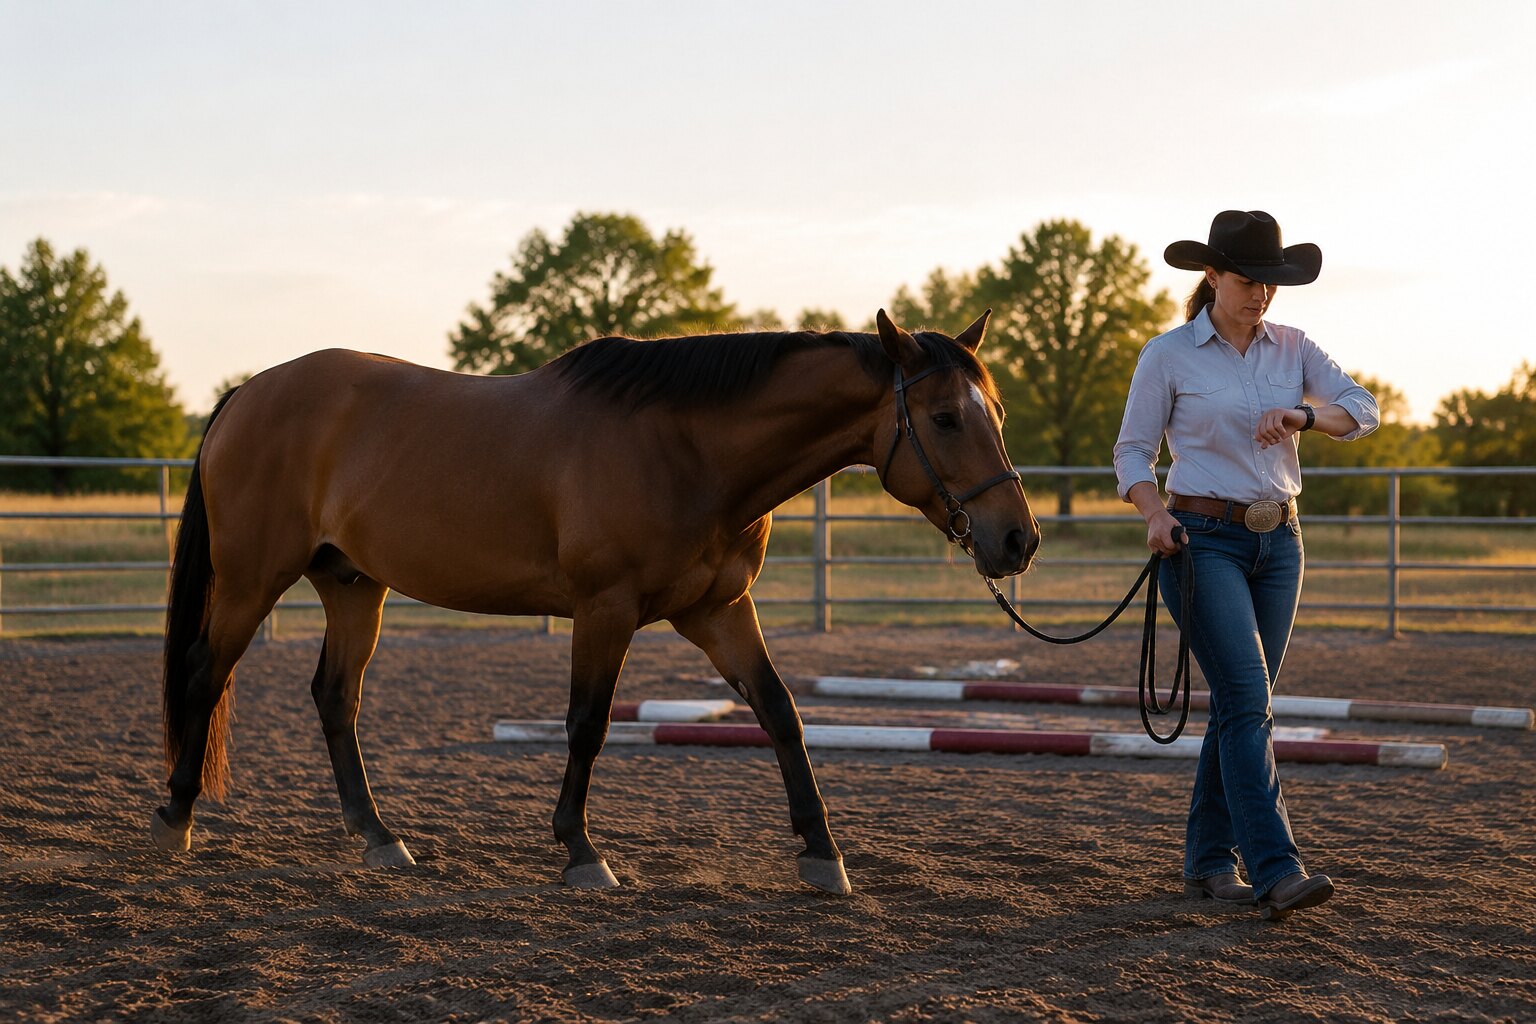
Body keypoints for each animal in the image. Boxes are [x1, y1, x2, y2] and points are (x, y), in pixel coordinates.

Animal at [151, 308, 1040, 895]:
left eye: (996, 412)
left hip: (351, 586)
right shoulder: (604, 610)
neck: (684, 448)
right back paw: (176, 818)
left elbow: (781, 712)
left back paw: (379, 838)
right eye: (944, 417)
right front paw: (582, 852)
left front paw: (823, 853)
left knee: (335, 699)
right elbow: (588, 723)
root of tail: (245, 395)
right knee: (203, 674)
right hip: (251, 580)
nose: (1017, 540)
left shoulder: (720, 612)